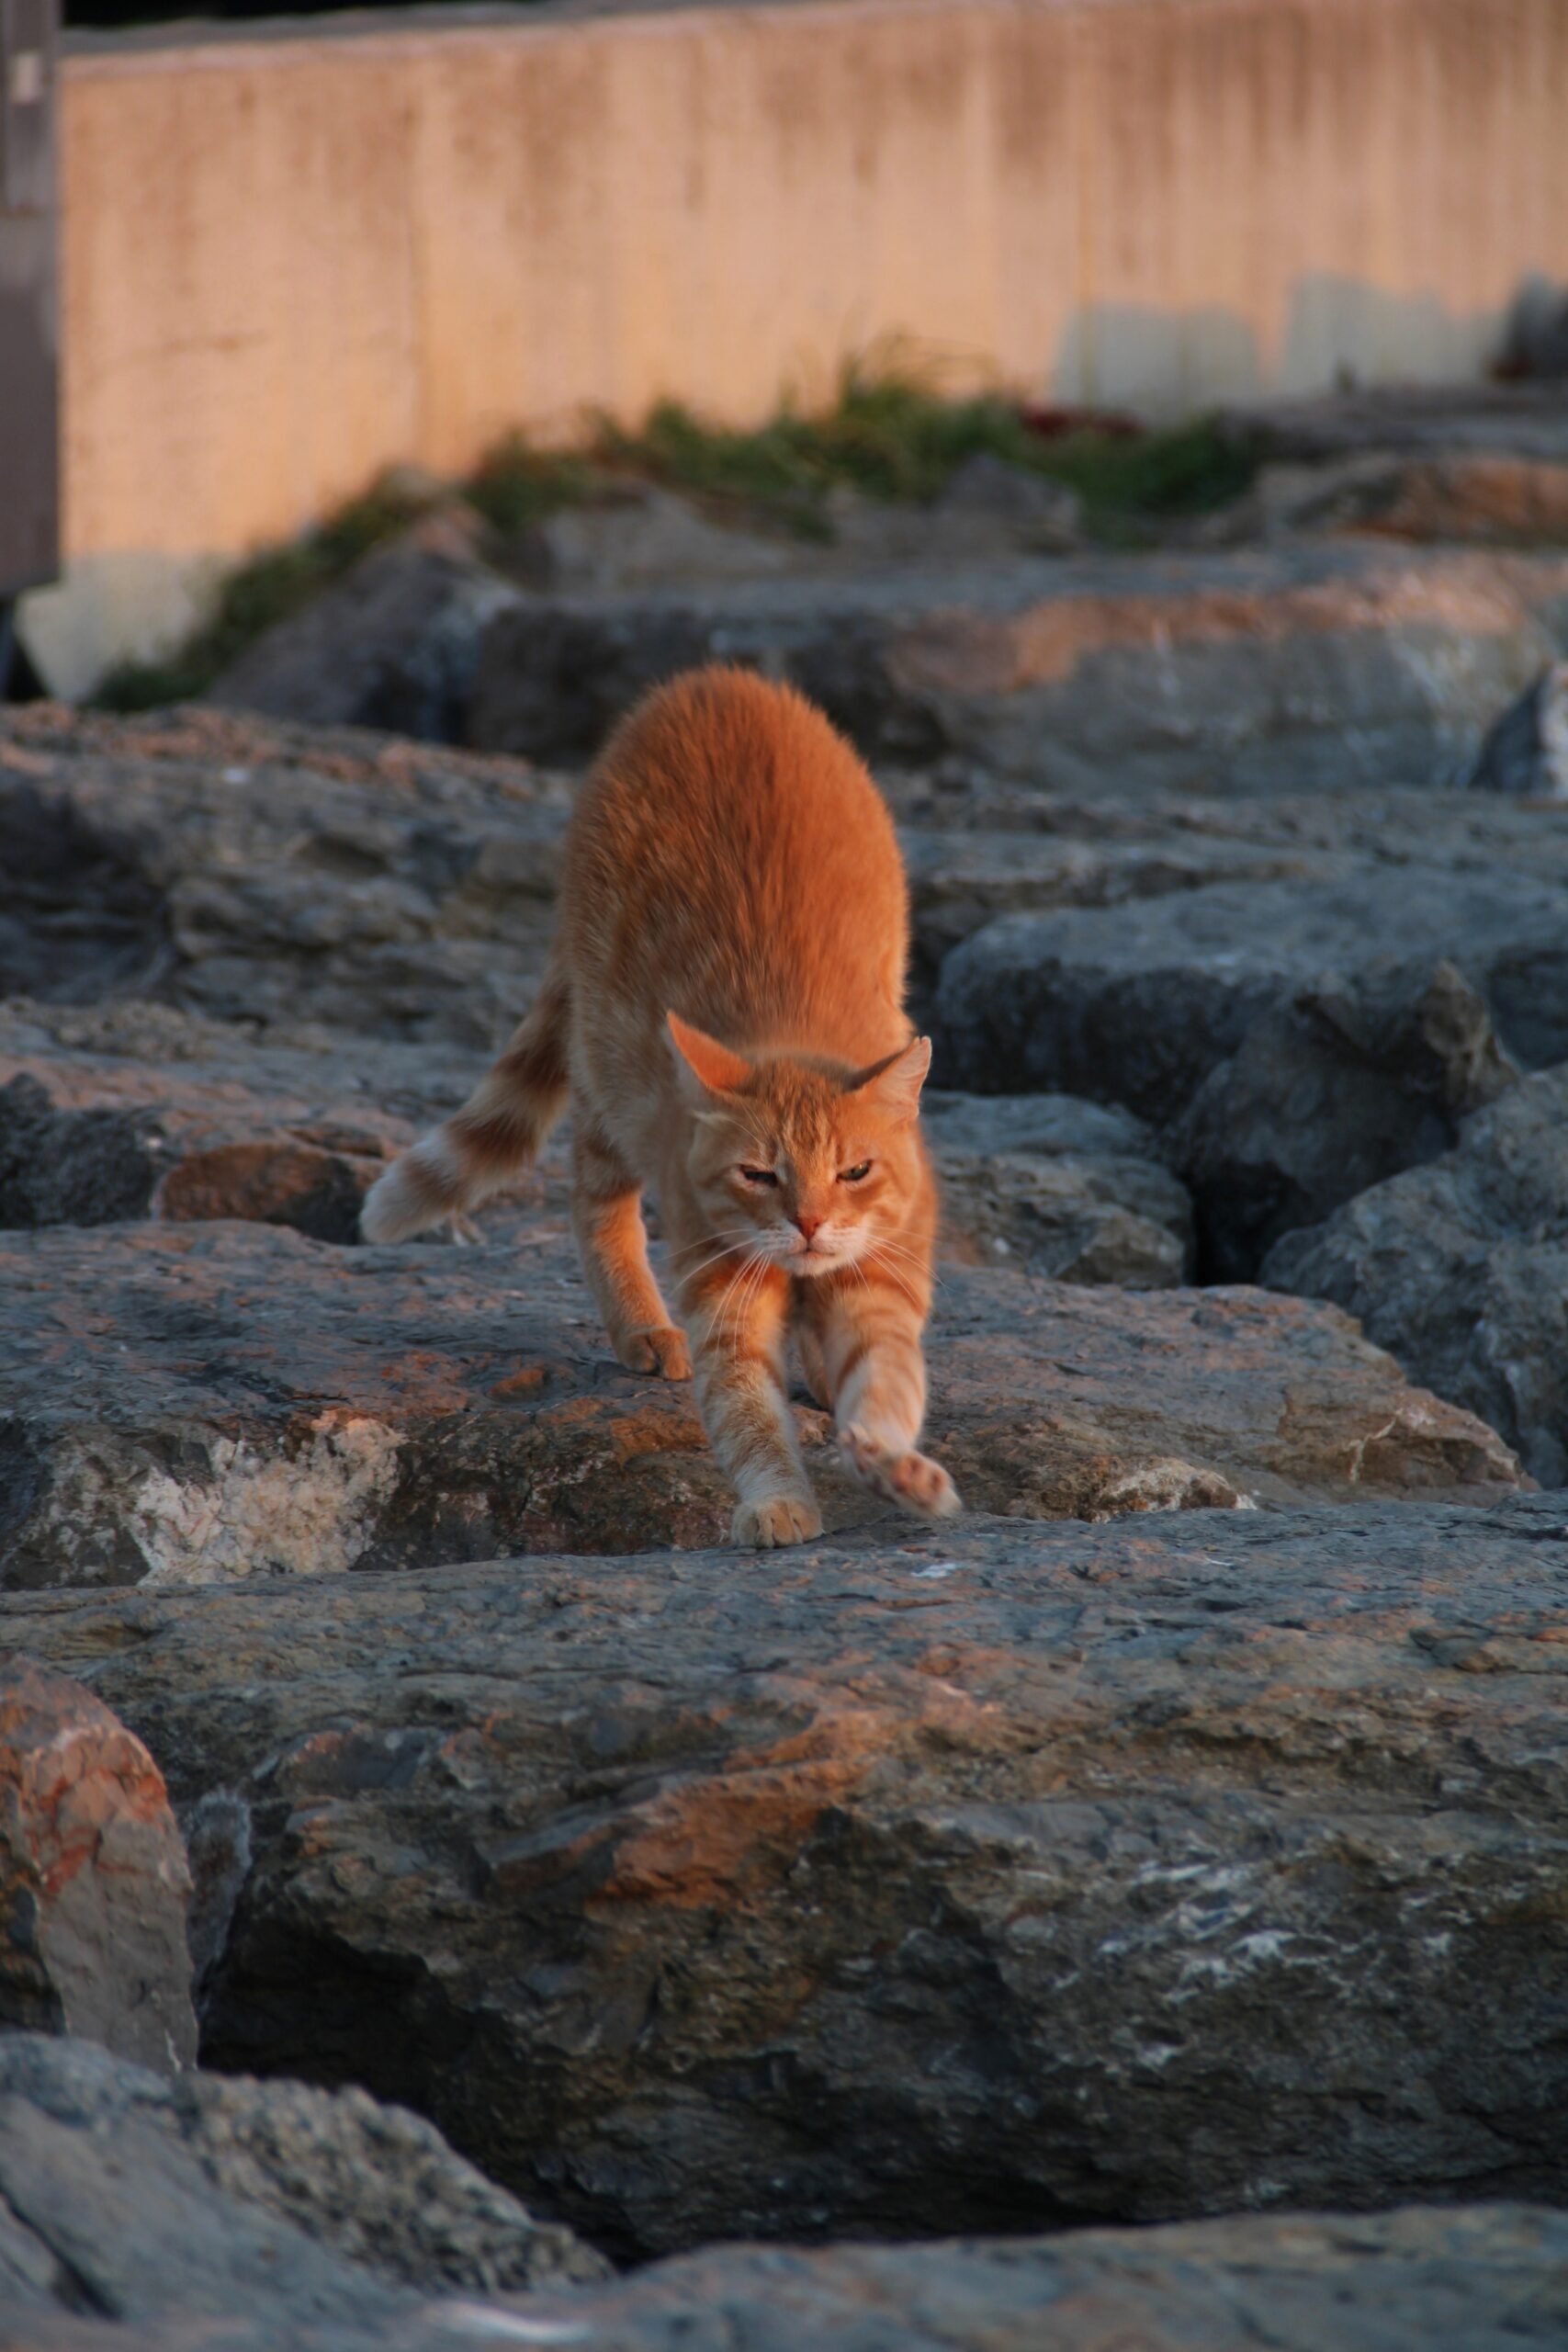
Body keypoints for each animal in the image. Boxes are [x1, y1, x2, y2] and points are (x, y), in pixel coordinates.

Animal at [364, 662, 964, 1543]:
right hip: (612, 1085)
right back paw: (642, 1326)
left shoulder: (880, 1285)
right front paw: (778, 1501)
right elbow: (747, 1415)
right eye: (758, 1175)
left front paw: (894, 1468)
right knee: (594, 1202)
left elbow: (883, 1383)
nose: (809, 1224)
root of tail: (715, 677)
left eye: (854, 1172)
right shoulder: (724, 1298)